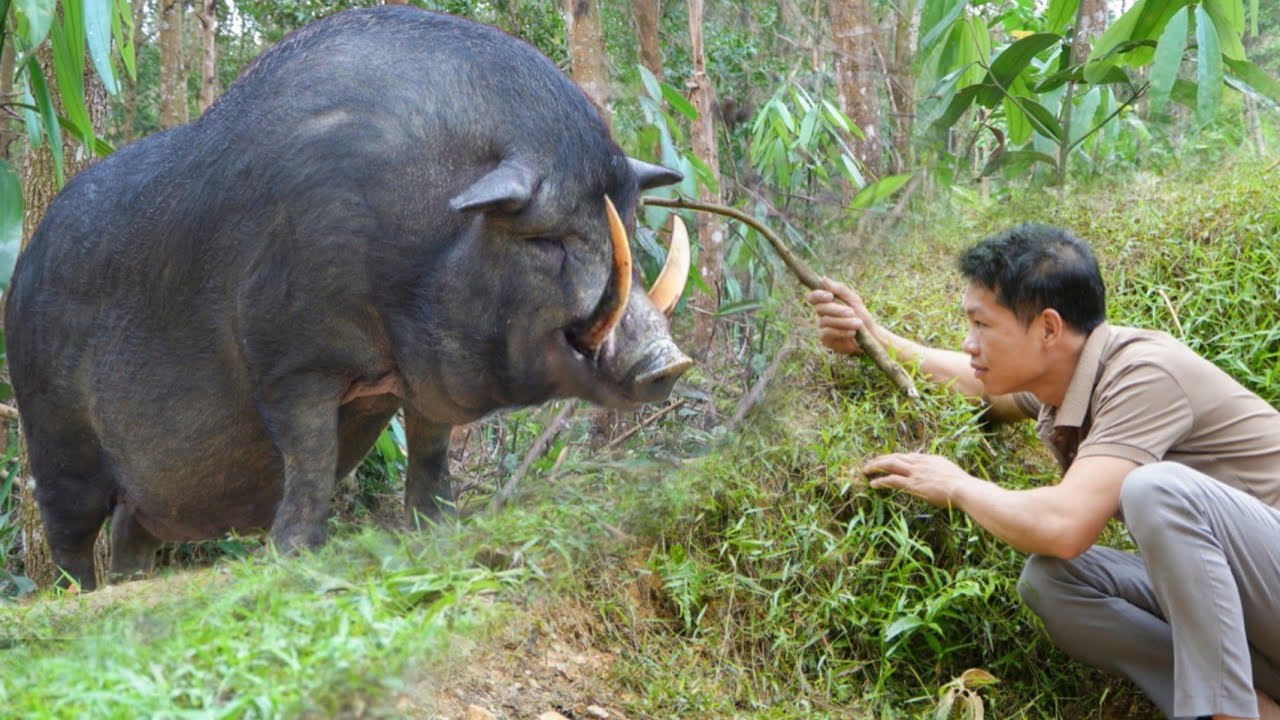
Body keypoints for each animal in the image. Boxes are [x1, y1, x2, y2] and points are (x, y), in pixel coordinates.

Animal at [3, 5, 692, 590]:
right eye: (546, 240)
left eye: (627, 214)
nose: (668, 361)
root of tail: (23, 269)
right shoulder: (292, 361)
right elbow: (312, 454)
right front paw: (297, 554)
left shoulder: (423, 377)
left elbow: (431, 449)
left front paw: (438, 529)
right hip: (52, 427)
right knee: (66, 529)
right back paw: (76, 594)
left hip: (138, 492)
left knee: (131, 529)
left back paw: (133, 584)